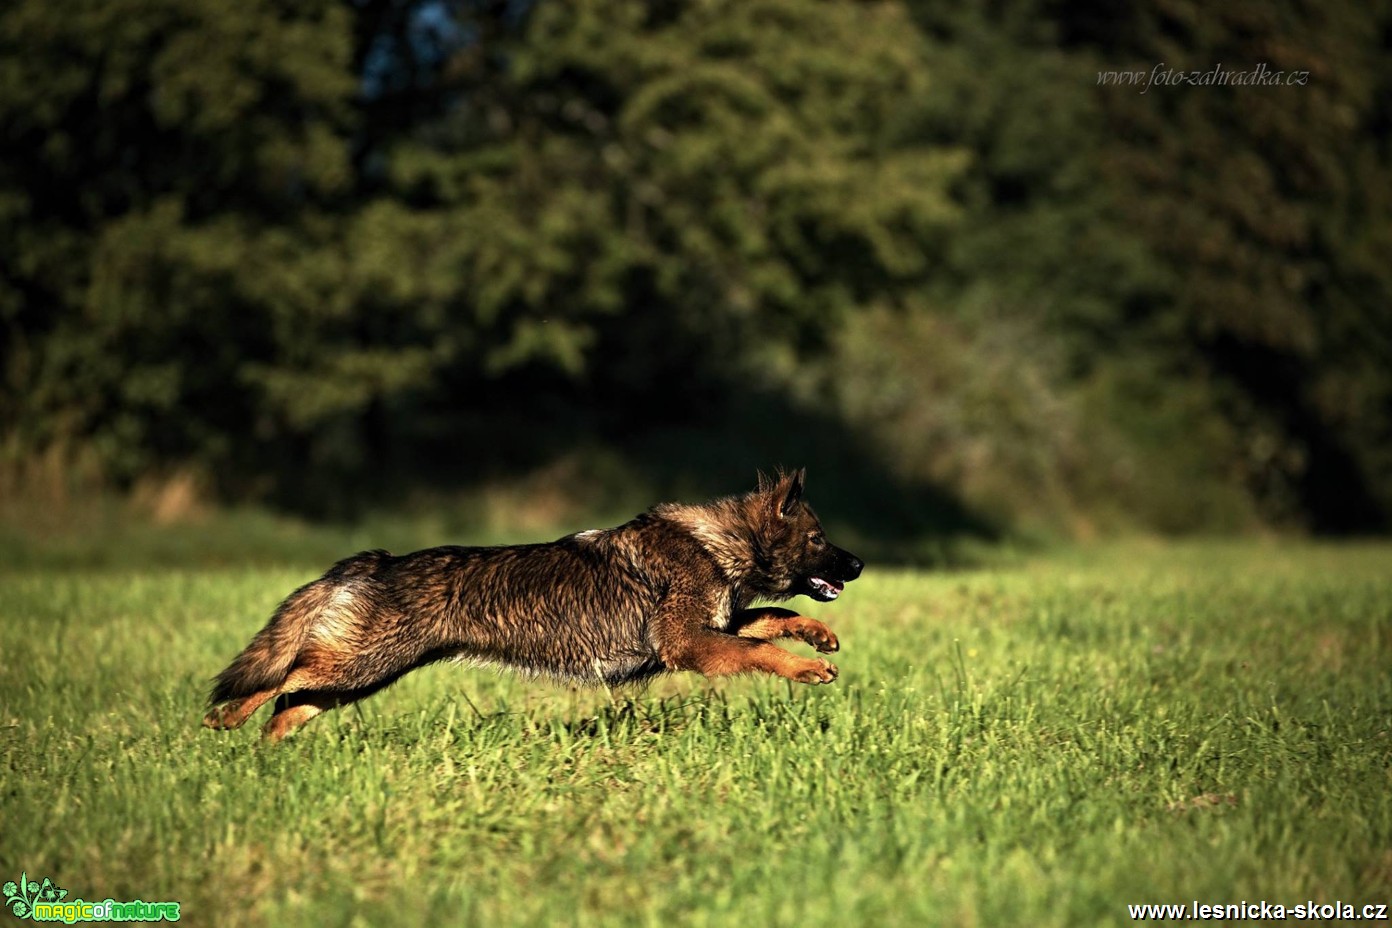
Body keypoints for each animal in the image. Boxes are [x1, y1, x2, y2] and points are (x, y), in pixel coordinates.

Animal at [203, 467, 857, 745]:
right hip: (357, 664)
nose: (858, 566)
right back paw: (224, 721)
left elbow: (773, 619)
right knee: (277, 681)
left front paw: (819, 635)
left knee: (288, 707)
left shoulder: (711, 627)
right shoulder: (687, 644)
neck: (721, 542)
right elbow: (761, 650)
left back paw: (265, 761)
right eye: (819, 538)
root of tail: (377, 560)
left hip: (360, 678)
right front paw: (810, 668)